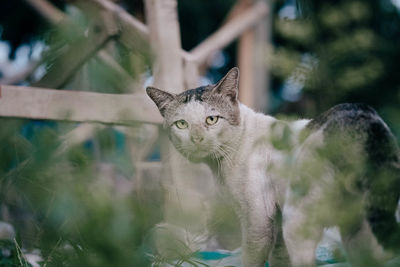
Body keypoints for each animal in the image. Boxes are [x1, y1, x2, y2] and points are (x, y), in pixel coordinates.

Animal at [147, 67, 400, 267]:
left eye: (212, 119)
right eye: (181, 124)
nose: (197, 139)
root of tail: (362, 118)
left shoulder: (257, 220)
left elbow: (251, 259)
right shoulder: (275, 220)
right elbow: (279, 257)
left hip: (297, 220)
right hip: (356, 230)